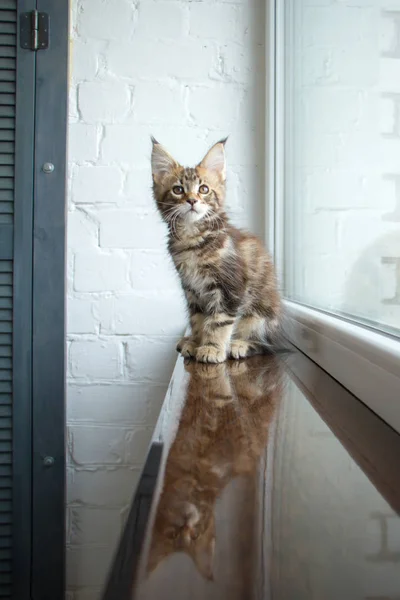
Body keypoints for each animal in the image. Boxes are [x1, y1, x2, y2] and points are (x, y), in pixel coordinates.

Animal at [151, 138, 282, 364]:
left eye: (204, 189)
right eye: (178, 190)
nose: (192, 200)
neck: (193, 239)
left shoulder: (229, 286)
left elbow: (218, 320)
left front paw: (211, 348)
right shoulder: (193, 289)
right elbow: (198, 319)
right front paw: (196, 342)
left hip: (259, 315)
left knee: (266, 344)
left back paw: (240, 345)